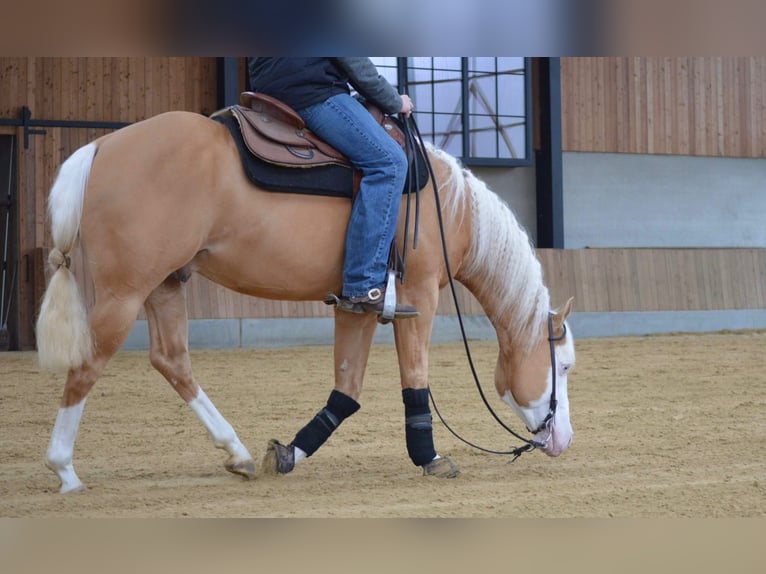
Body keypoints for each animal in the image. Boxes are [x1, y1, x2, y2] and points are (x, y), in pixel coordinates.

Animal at [36, 111, 576, 496]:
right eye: (565, 365)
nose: (562, 440)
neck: (449, 207)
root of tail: (102, 146)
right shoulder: (418, 295)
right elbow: (415, 379)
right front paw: (429, 458)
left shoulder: (358, 306)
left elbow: (347, 391)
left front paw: (290, 453)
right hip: (124, 294)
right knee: (87, 365)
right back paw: (64, 471)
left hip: (164, 286)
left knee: (172, 361)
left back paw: (236, 452)